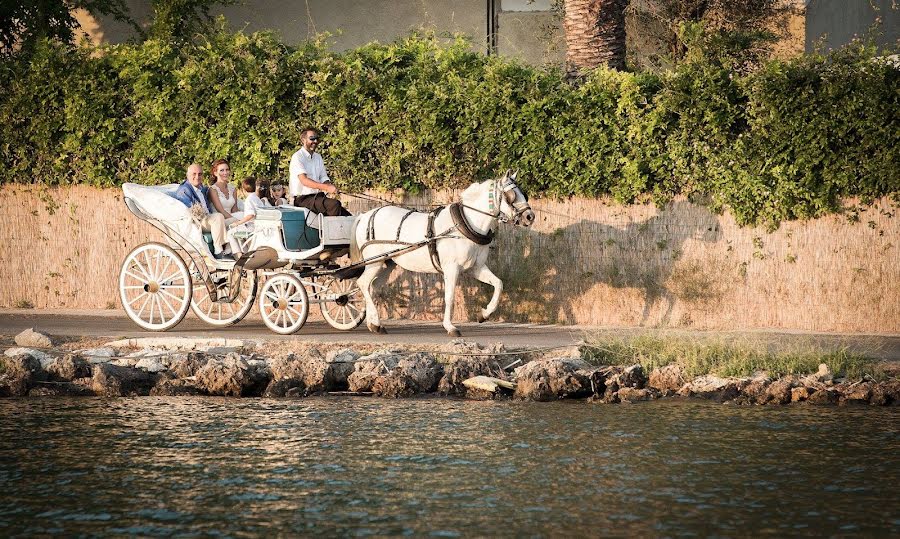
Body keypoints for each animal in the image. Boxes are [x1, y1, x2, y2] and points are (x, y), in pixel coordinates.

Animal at [352, 171, 536, 336]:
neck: (465, 224)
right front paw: (450, 327)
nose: (530, 216)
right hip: (374, 262)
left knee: (372, 287)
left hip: (387, 263)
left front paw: (484, 314)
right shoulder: (451, 269)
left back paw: (374, 324)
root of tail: (365, 215)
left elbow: (498, 284)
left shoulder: (476, 267)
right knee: (363, 283)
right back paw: (375, 322)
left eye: (523, 193)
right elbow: (450, 297)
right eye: (511, 195)